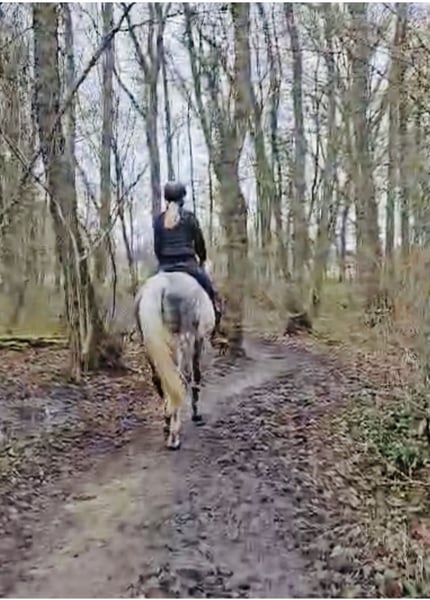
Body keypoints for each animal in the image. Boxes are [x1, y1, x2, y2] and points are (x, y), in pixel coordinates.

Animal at [135, 266, 216, 450]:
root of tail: (161, 286)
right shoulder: (198, 340)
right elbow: (195, 375)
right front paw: (196, 414)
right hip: (181, 340)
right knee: (180, 379)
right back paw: (174, 435)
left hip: (150, 344)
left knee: (160, 380)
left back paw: (167, 424)